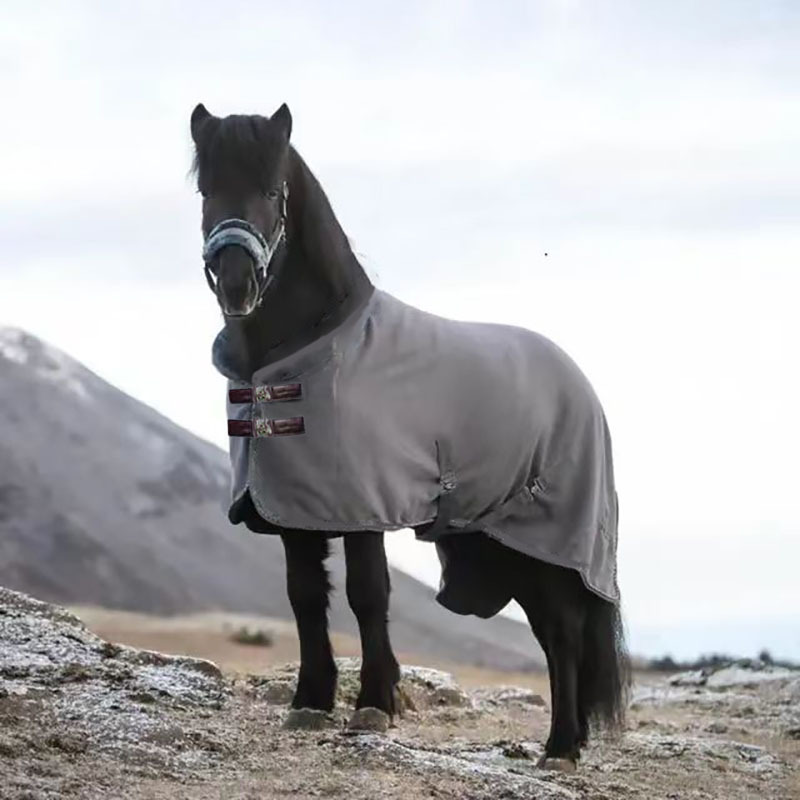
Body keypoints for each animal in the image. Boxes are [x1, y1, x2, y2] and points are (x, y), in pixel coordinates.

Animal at [190, 101, 630, 770]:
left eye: (271, 191)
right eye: (206, 190)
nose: (237, 282)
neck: (309, 349)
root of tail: (579, 384)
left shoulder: (363, 505)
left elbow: (368, 594)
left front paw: (373, 703)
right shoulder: (294, 509)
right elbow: (304, 596)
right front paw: (311, 702)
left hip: (549, 540)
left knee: (561, 630)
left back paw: (559, 747)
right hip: (510, 545)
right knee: (557, 634)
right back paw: (570, 739)